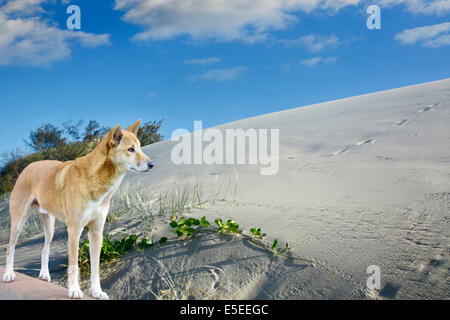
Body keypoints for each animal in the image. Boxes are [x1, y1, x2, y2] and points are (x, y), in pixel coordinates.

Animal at [1, 120, 154, 300]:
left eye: (140, 147)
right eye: (131, 149)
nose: (152, 164)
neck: (97, 180)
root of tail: (28, 166)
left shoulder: (96, 232)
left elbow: (95, 268)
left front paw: (97, 291)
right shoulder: (74, 230)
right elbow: (74, 265)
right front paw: (74, 290)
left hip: (49, 226)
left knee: (45, 249)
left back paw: (44, 275)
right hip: (19, 221)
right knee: (10, 248)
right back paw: (9, 274)